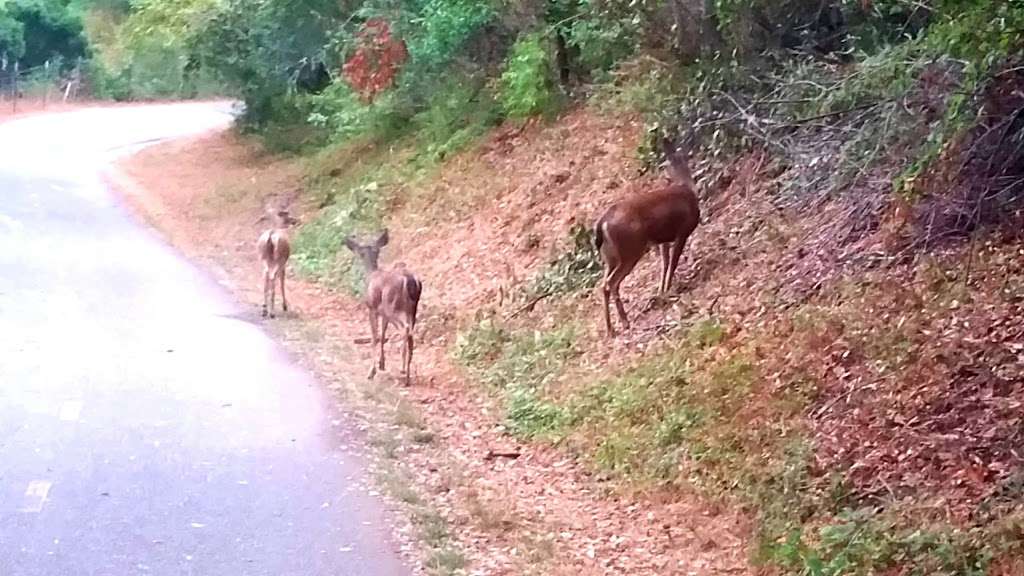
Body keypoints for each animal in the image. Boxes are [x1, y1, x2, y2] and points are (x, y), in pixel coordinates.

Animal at [344, 229, 423, 385]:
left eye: (360, 252)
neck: (371, 275)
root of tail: (409, 279)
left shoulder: (372, 308)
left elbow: (374, 336)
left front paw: (372, 371)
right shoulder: (383, 314)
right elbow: (382, 334)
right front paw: (381, 364)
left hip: (393, 306)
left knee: (405, 329)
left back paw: (402, 370)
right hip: (412, 309)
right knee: (411, 333)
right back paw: (408, 375)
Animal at [593, 136, 704, 334]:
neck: (686, 186)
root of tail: (601, 224)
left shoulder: (662, 240)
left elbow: (664, 263)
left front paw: (662, 290)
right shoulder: (682, 231)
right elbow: (673, 262)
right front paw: (669, 289)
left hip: (610, 257)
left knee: (603, 285)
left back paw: (610, 328)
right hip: (630, 250)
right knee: (611, 283)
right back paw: (624, 322)